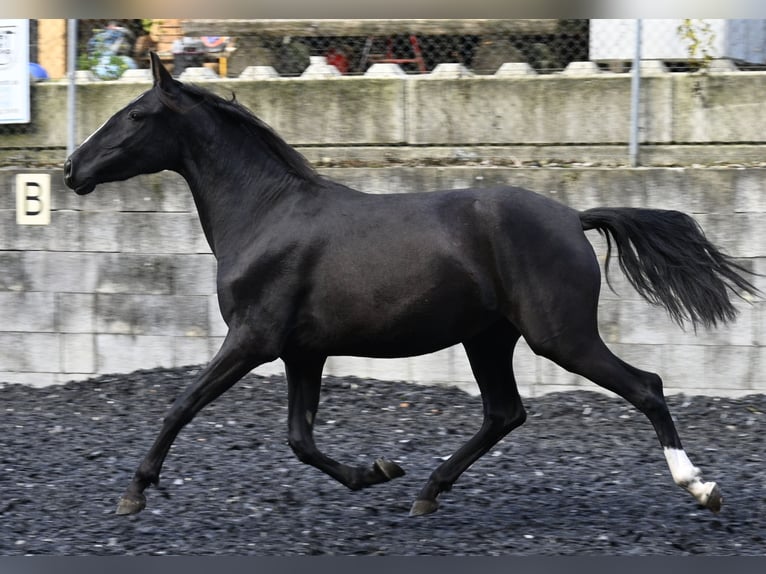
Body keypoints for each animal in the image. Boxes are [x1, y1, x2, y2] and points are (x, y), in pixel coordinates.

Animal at [64, 54, 756, 520]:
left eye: (134, 115)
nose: (71, 168)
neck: (265, 214)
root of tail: (573, 217)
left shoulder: (252, 339)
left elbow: (182, 404)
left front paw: (134, 491)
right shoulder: (302, 351)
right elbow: (299, 438)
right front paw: (377, 471)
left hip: (560, 336)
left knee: (647, 387)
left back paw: (702, 487)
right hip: (489, 339)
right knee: (505, 412)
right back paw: (427, 491)